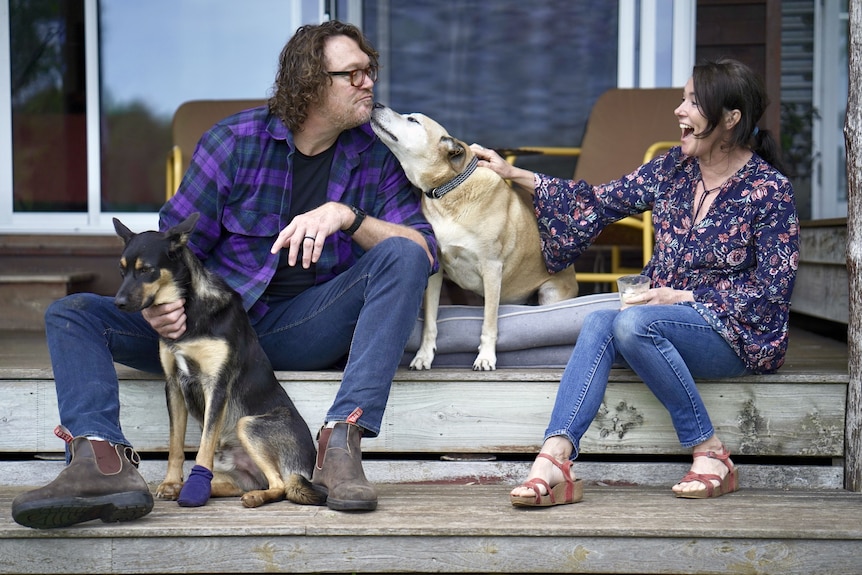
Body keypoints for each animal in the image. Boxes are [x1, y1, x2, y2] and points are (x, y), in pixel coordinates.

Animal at [109, 213, 322, 508]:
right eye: (122, 270)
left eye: (146, 270)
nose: (117, 303)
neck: (190, 307)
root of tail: (304, 469)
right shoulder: (174, 385)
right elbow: (175, 444)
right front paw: (171, 483)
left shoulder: (216, 386)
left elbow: (204, 445)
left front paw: (193, 487)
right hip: (232, 467)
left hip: (249, 425)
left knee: (280, 486)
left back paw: (253, 496)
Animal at [372, 102, 580, 374]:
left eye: (413, 120)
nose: (376, 104)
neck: (449, 190)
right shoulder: (436, 272)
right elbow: (430, 322)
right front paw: (424, 355)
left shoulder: (492, 268)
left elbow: (489, 323)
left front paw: (486, 357)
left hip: (550, 294)